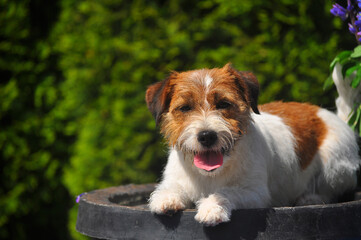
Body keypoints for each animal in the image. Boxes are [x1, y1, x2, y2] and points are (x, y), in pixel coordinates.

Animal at [145, 63, 358, 225]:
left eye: (224, 104)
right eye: (185, 108)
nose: (206, 136)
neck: (210, 175)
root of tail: (336, 119)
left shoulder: (254, 192)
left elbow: (226, 191)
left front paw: (212, 206)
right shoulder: (176, 180)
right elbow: (170, 188)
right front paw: (166, 198)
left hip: (335, 167)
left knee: (334, 190)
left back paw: (310, 198)